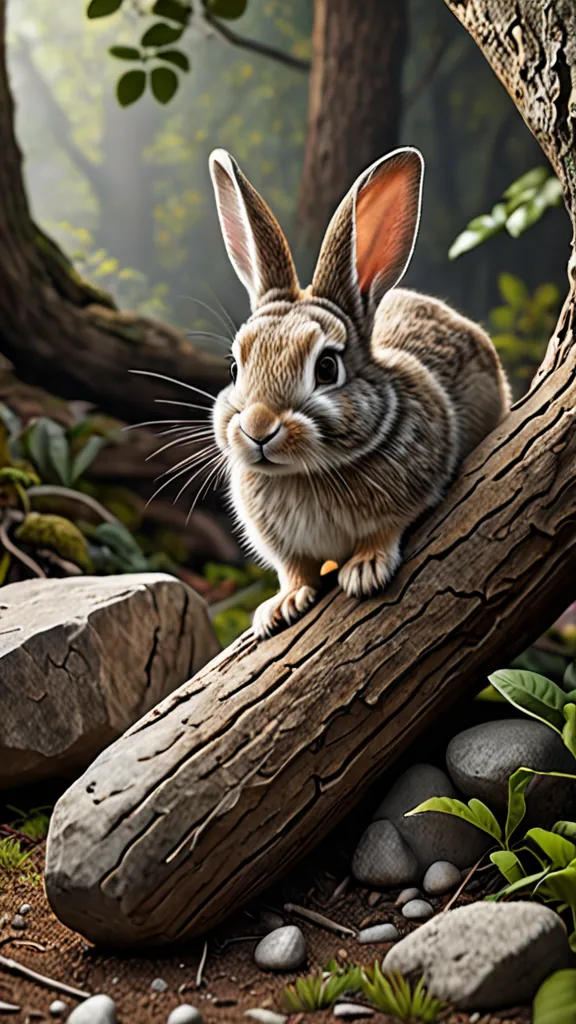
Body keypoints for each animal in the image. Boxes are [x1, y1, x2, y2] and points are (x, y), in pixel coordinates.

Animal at [208, 146, 511, 639]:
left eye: (326, 368)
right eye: (235, 367)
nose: (257, 429)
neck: (305, 473)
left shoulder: (404, 501)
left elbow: (384, 532)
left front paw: (365, 570)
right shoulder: (287, 550)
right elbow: (295, 570)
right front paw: (282, 605)